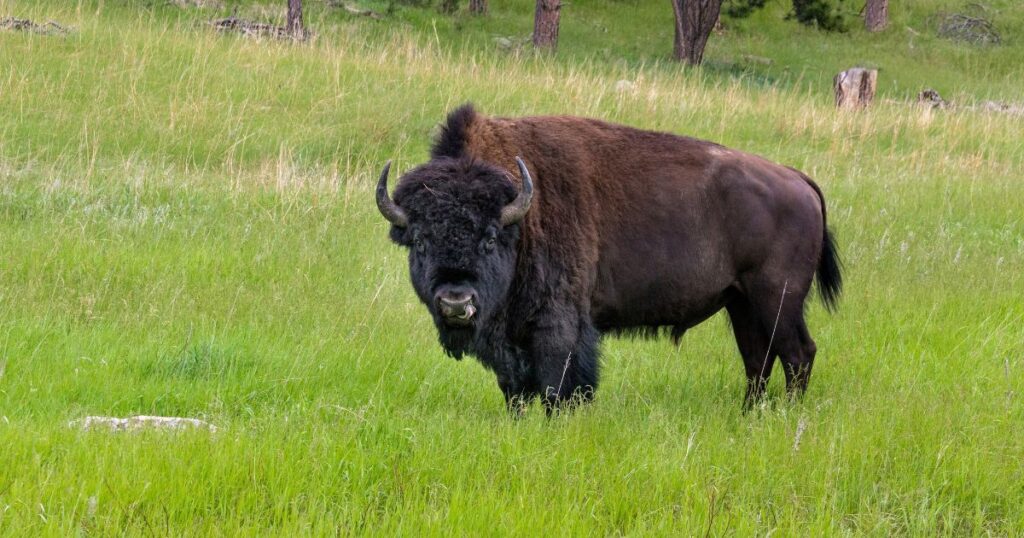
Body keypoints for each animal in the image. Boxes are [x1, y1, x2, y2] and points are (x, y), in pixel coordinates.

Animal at [376, 105, 839, 411]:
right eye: (419, 240)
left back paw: (786, 416)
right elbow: (515, 389)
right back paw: (748, 415)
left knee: (798, 354)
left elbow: (558, 384)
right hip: (741, 302)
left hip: (778, 299)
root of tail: (797, 179)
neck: (520, 215)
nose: (455, 302)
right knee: (758, 359)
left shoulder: (559, 324)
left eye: (490, 238)